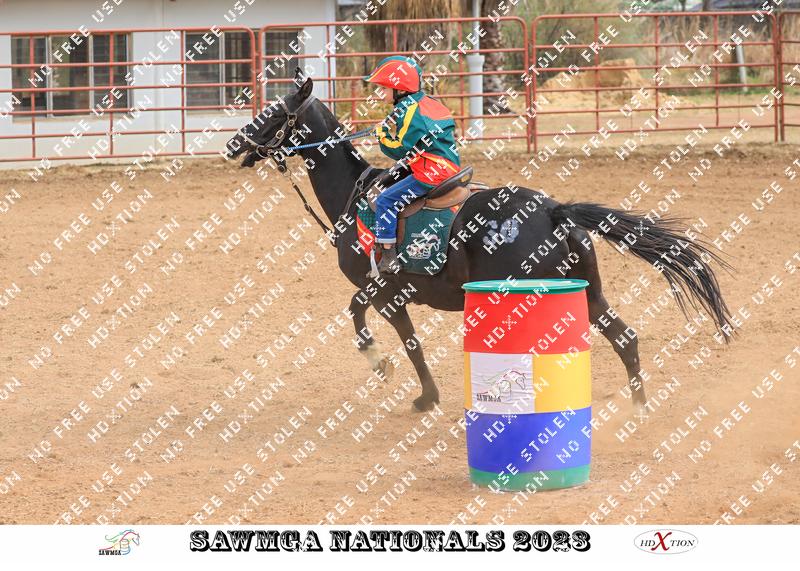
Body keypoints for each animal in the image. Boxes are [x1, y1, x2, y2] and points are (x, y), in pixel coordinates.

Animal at [225, 75, 733, 420]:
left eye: (273, 113)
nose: (232, 144)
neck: (357, 197)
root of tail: (554, 210)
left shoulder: (383, 290)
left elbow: (377, 326)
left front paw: (387, 369)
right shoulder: (396, 295)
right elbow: (401, 336)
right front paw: (420, 392)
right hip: (588, 293)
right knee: (625, 338)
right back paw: (640, 408)